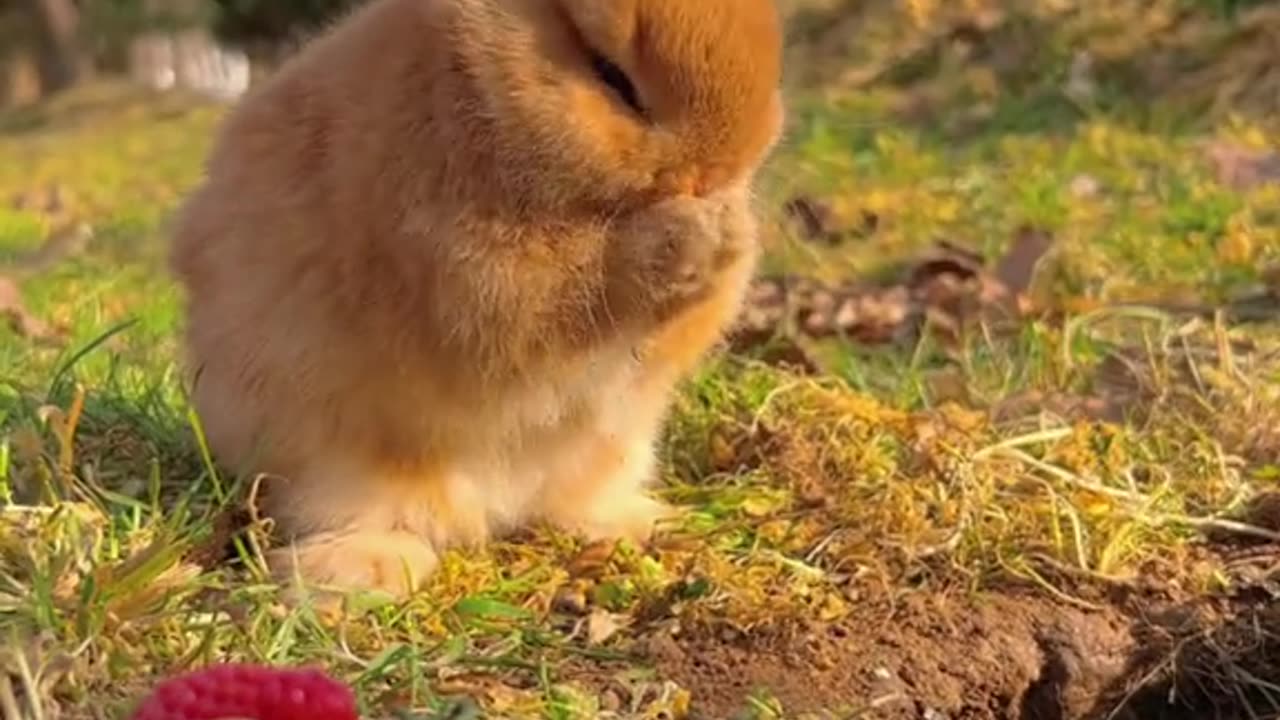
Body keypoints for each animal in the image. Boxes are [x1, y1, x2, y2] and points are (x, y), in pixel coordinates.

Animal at [171, 0, 783, 594]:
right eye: (611, 75)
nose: (719, 171)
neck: (485, 88)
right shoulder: (467, 271)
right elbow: (562, 294)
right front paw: (686, 233)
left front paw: (734, 231)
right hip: (337, 464)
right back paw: (362, 573)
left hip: (615, 449)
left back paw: (642, 524)